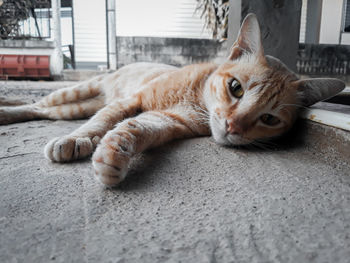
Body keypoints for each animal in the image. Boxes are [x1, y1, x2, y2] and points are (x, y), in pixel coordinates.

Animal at [0, 14, 344, 187]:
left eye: (269, 118)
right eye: (236, 88)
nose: (233, 126)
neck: (195, 96)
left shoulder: (165, 120)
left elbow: (131, 130)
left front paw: (113, 156)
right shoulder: (131, 101)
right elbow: (100, 123)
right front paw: (78, 139)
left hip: (73, 108)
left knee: (43, 112)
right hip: (76, 93)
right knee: (37, 106)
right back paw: (9, 111)